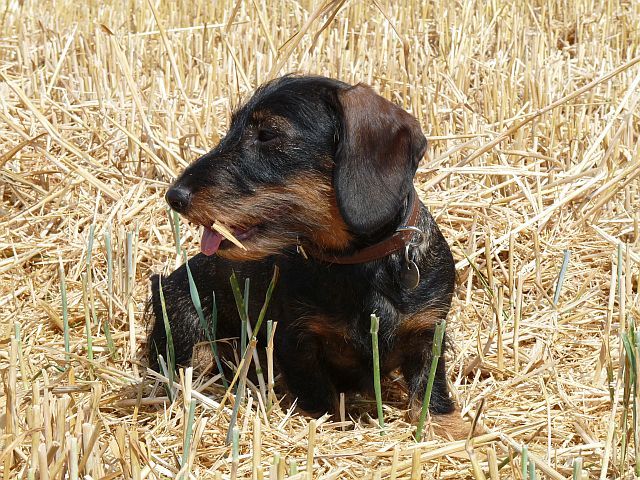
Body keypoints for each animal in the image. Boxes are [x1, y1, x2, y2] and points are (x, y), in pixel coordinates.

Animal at [146, 74, 456, 420]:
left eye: (267, 134)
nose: (175, 196)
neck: (358, 264)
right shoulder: (295, 342)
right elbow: (321, 400)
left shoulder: (429, 332)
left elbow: (431, 395)